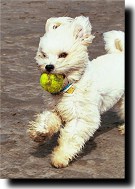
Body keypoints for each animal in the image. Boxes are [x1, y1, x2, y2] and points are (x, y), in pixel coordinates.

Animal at [27, 15, 124, 168]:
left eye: (63, 55)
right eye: (43, 55)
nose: (48, 67)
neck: (71, 86)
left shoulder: (82, 118)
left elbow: (70, 138)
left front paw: (60, 157)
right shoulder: (55, 109)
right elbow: (48, 120)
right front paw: (40, 132)